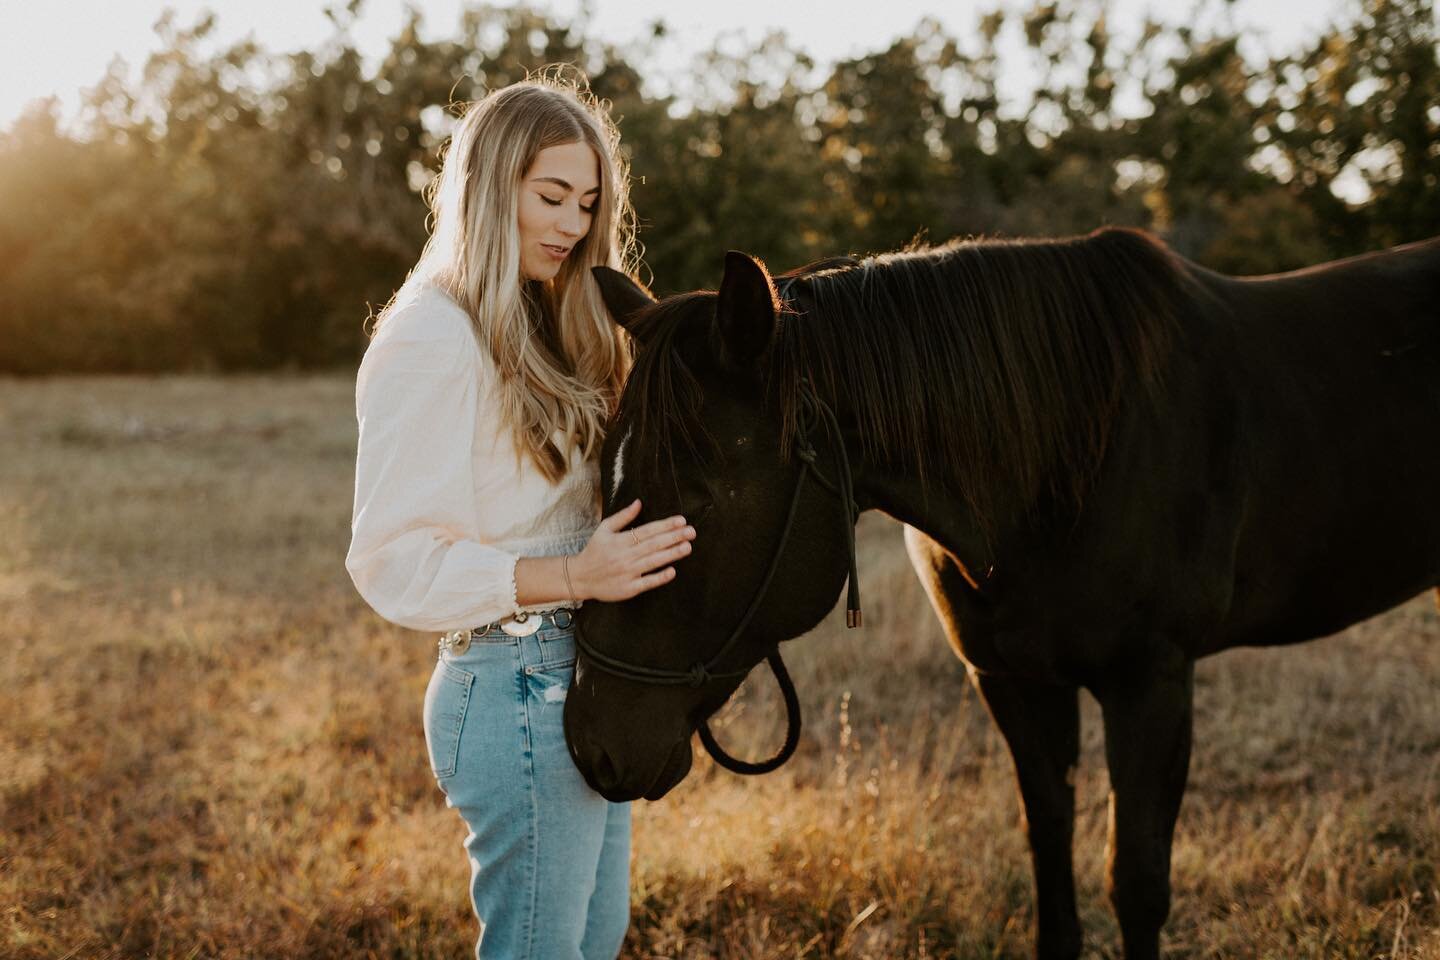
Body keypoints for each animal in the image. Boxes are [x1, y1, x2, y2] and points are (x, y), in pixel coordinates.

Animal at [561, 228, 1440, 955]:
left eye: (699, 500)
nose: (592, 745)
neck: (1073, 456)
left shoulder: (1151, 683)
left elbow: (1137, 883)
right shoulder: (1013, 681)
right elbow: (1050, 853)